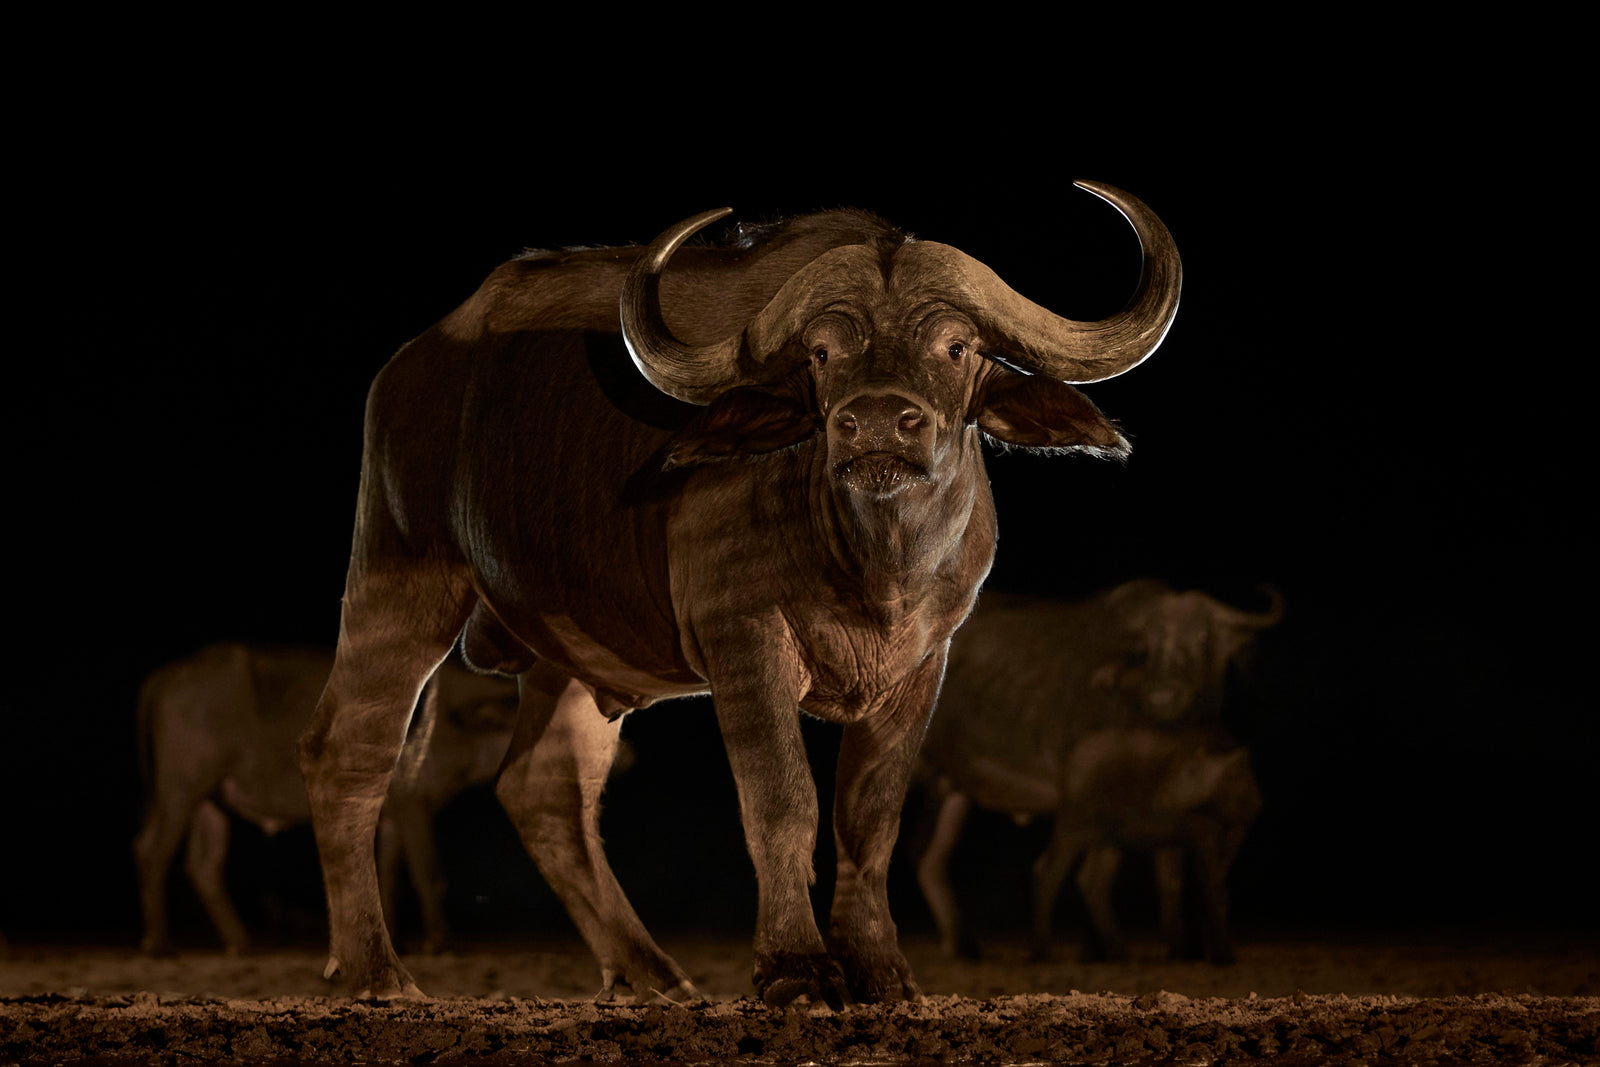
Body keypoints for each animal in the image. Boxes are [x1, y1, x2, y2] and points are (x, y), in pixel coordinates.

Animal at [134, 643, 517, 956]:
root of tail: (167, 676)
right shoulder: (413, 805)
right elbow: (429, 874)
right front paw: (439, 943)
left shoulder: (392, 815)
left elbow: (387, 877)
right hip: (180, 791)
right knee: (154, 852)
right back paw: (160, 944)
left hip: (211, 801)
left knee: (202, 865)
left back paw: (239, 942)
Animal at [297, 183, 1182, 1005]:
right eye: (821, 353)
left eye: (956, 345)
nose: (875, 424)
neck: (871, 563)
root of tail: (413, 367)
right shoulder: (744, 640)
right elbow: (782, 799)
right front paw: (796, 965)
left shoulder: (925, 662)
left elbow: (870, 815)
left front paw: (878, 966)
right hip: (399, 576)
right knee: (349, 751)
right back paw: (375, 970)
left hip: (573, 650)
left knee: (543, 785)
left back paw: (651, 971)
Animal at [913, 583, 1280, 962]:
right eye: (1147, 644)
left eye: (1203, 635)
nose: (1162, 695)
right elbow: (1103, 870)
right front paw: (1097, 946)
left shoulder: (1174, 806)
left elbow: (1170, 871)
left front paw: (1181, 945)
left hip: (950, 789)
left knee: (929, 860)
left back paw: (963, 943)